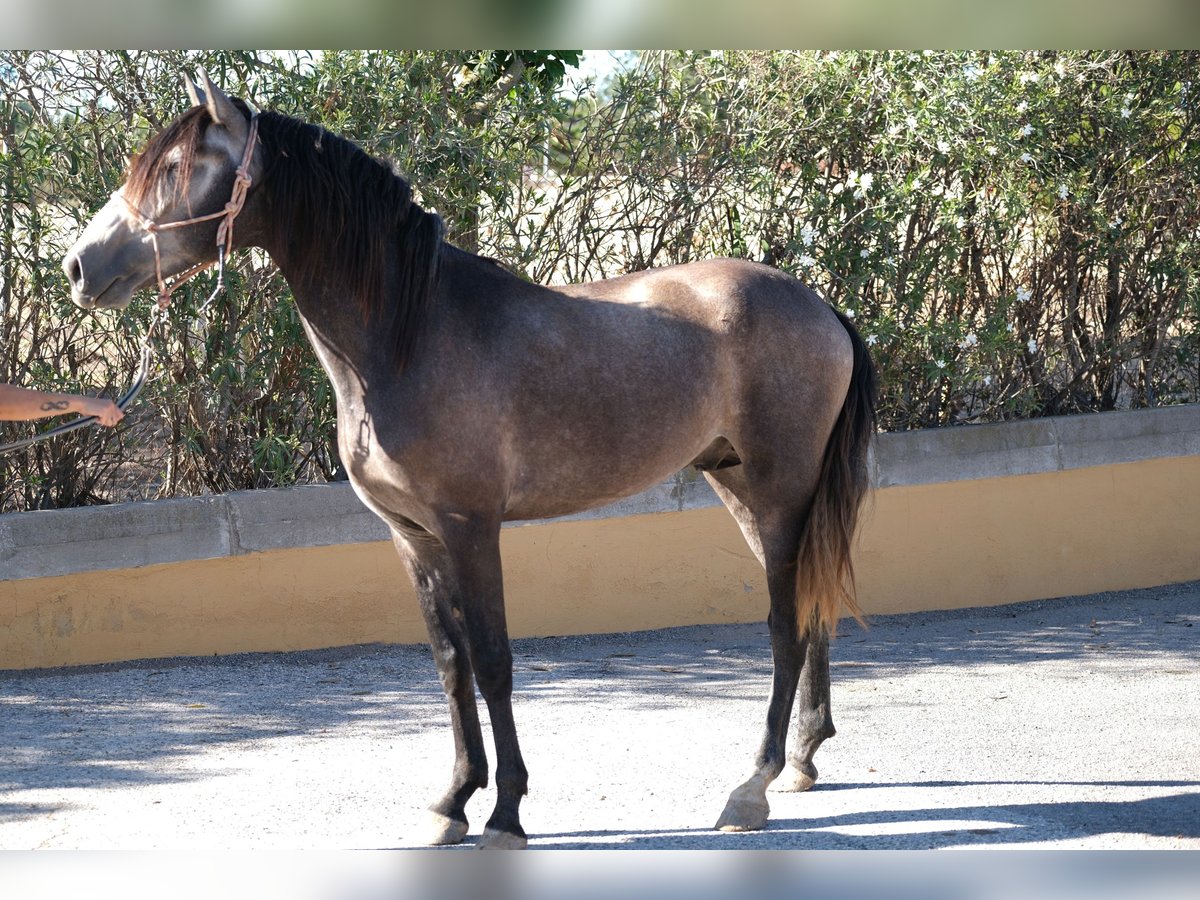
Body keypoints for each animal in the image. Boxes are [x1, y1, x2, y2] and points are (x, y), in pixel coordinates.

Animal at [63, 72, 873, 854]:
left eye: (176, 167)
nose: (77, 266)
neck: (409, 336)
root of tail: (820, 306)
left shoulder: (470, 527)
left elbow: (493, 660)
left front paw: (507, 811)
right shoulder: (411, 536)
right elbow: (450, 665)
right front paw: (452, 801)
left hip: (780, 492)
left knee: (784, 622)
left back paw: (752, 787)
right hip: (740, 487)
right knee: (808, 608)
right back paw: (802, 762)